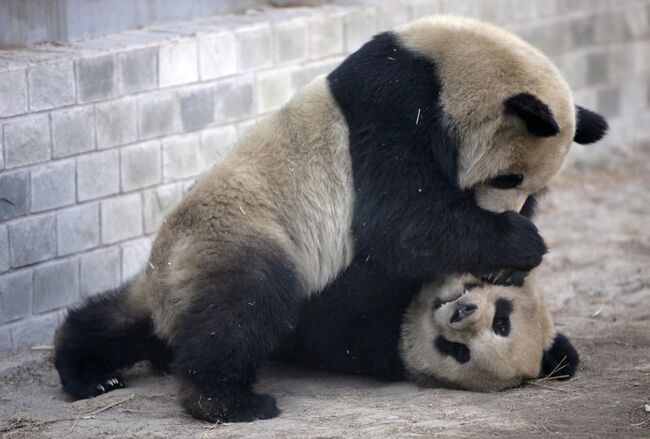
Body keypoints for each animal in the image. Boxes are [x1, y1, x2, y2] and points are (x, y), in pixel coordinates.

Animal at [53, 16, 604, 422]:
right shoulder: (395, 104)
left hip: (173, 271)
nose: (505, 213)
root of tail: (168, 289)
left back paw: (88, 371)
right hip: (240, 231)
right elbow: (399, 222)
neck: (446, 60)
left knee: (123, 319)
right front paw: (518, 244)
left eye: (527, 189)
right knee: (244, 304)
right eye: (509, 177)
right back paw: (227, 401)